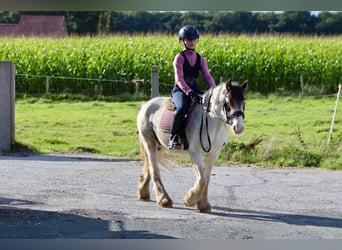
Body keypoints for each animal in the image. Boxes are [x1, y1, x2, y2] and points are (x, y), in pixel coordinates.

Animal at [137, 80, 248, 213]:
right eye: (228, 102)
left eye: (243, 101)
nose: (239, 128)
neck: (211, 120)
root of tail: (146, 105)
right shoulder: (195, 153)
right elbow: (202, 179)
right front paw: (189, 200)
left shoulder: (213, 155)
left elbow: (207, 179)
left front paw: (203, 205)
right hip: (149, 143)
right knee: (154, 169)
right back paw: (164, 200)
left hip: (160, 147)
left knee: (150, 166)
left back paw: (143, 193)